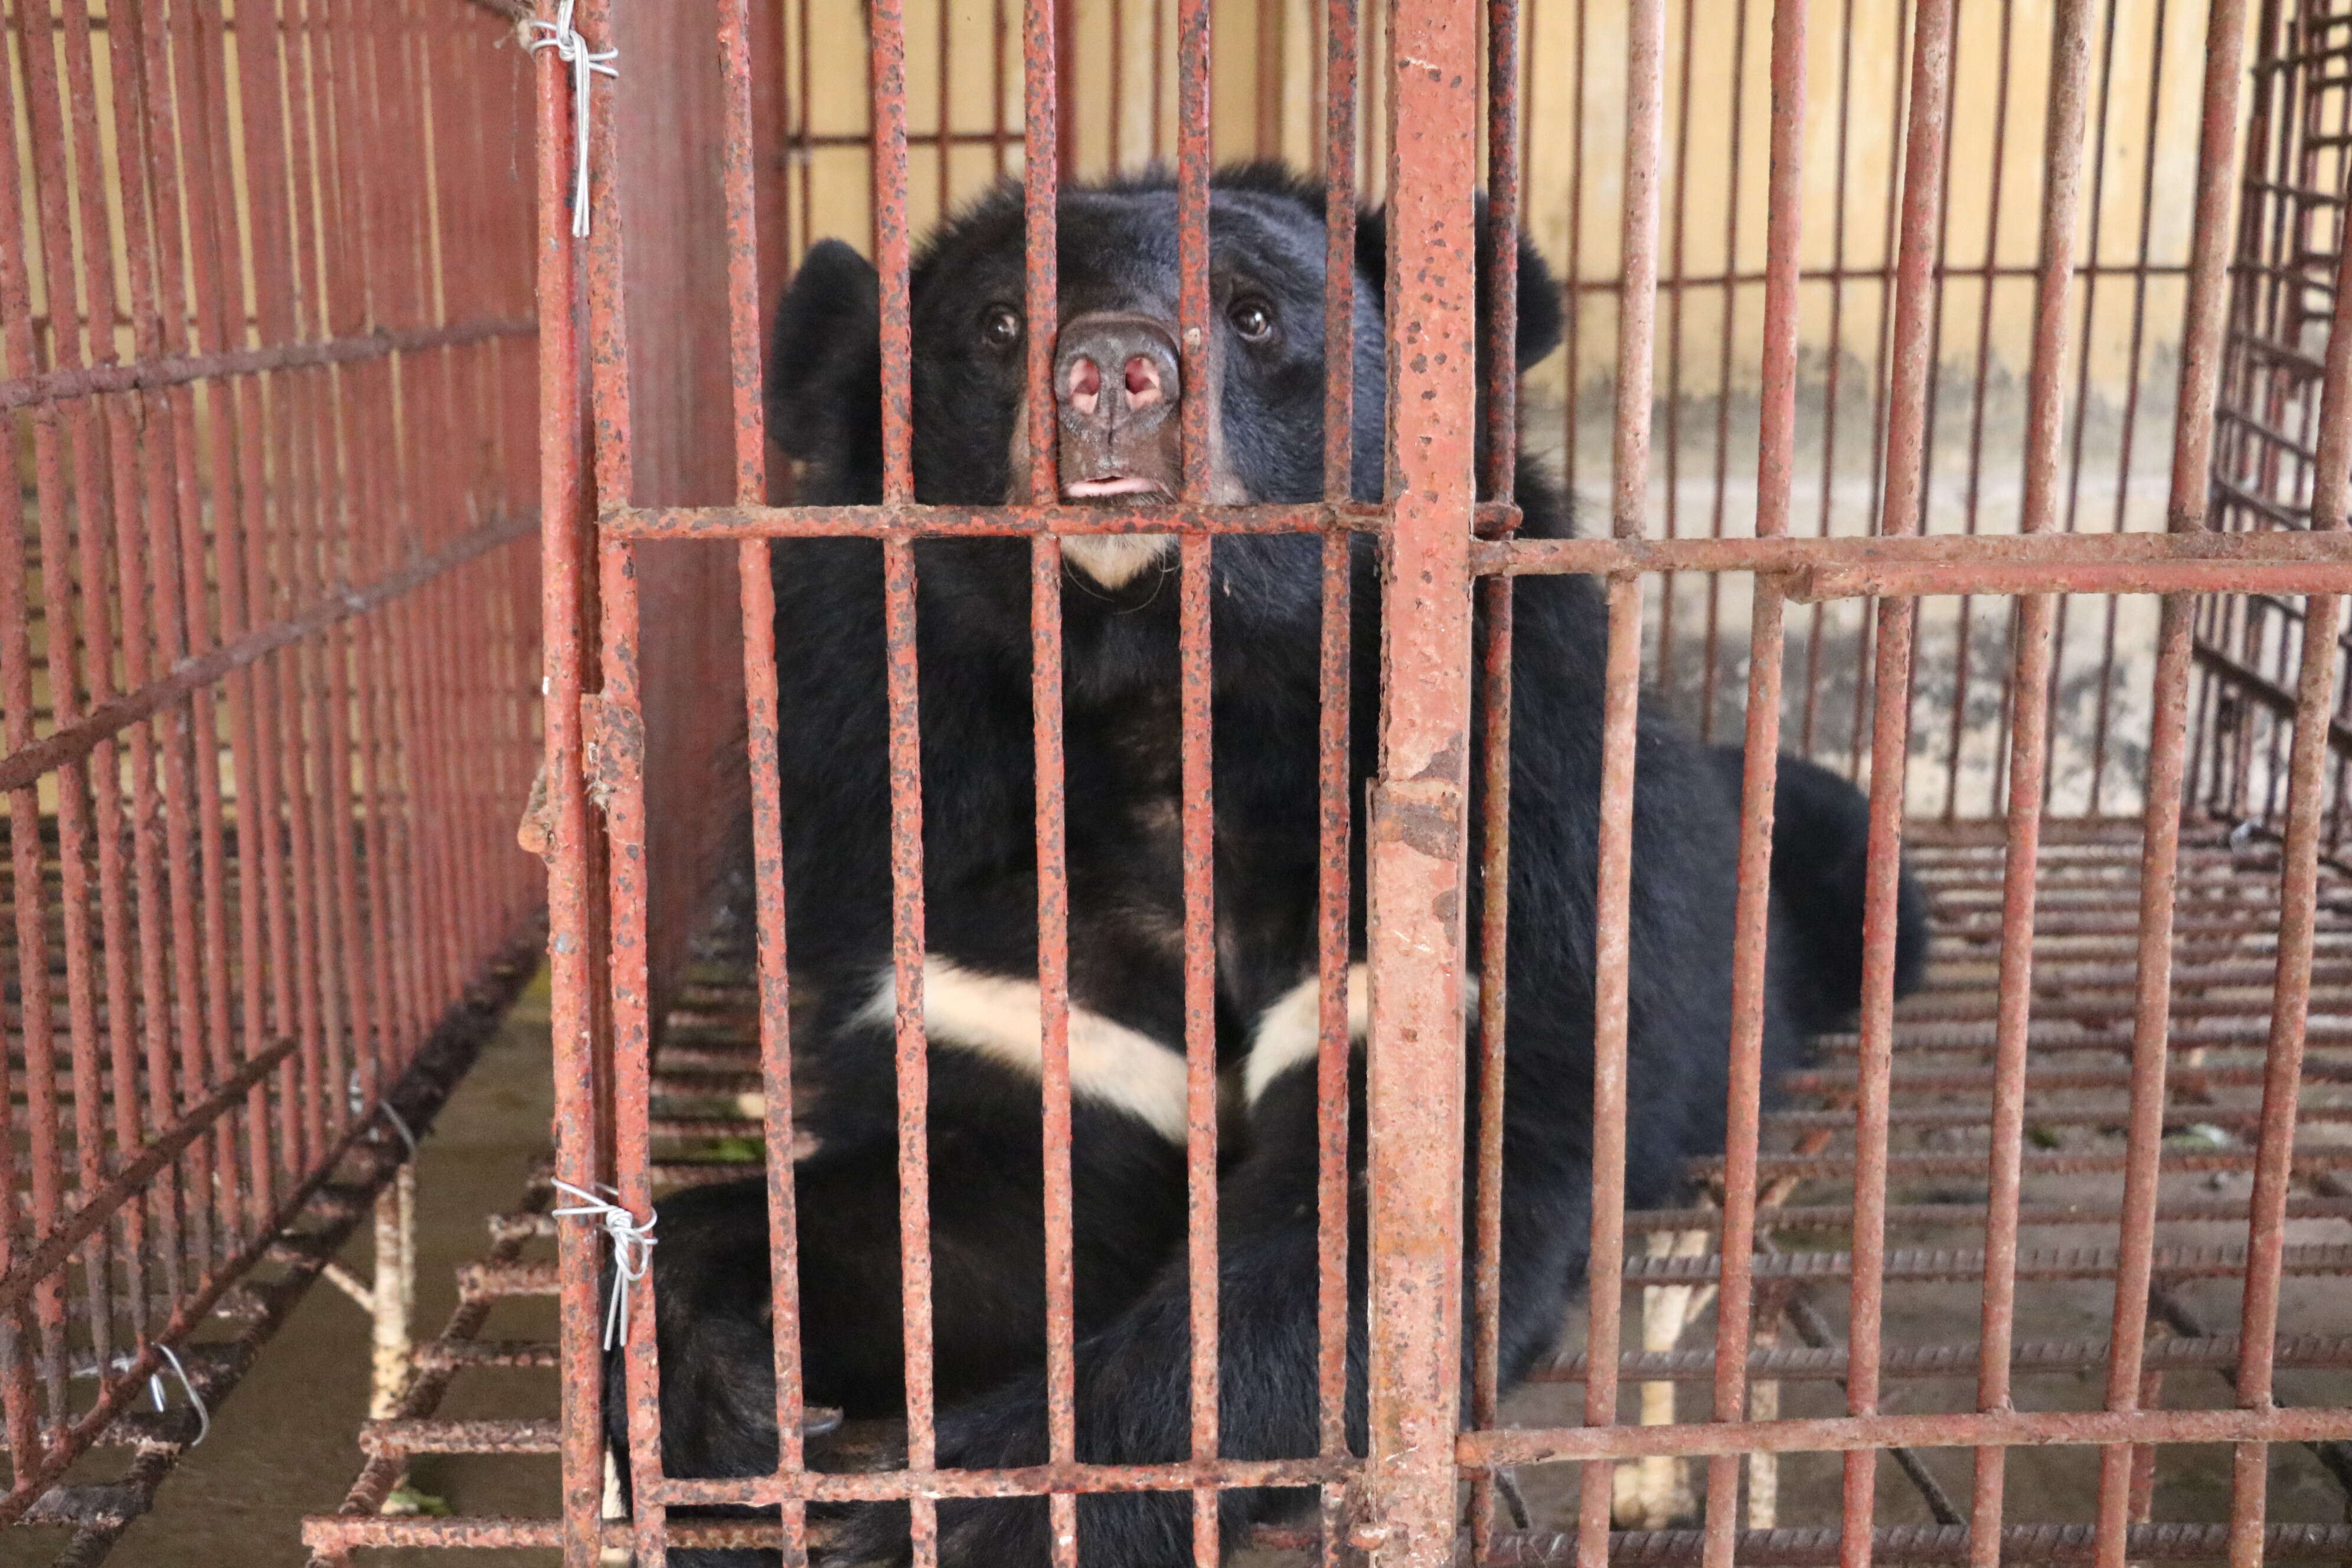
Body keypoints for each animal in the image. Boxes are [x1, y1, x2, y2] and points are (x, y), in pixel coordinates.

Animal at [611, 162, 1928, 1568]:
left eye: (1250, 315)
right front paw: (710, 1381)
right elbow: (996, 1195)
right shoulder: (952, 866)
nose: (1111, 373)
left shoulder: (1496, 855)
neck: (1162, 696)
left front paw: (966, 1517)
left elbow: (1348, 1251)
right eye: (997, 326)